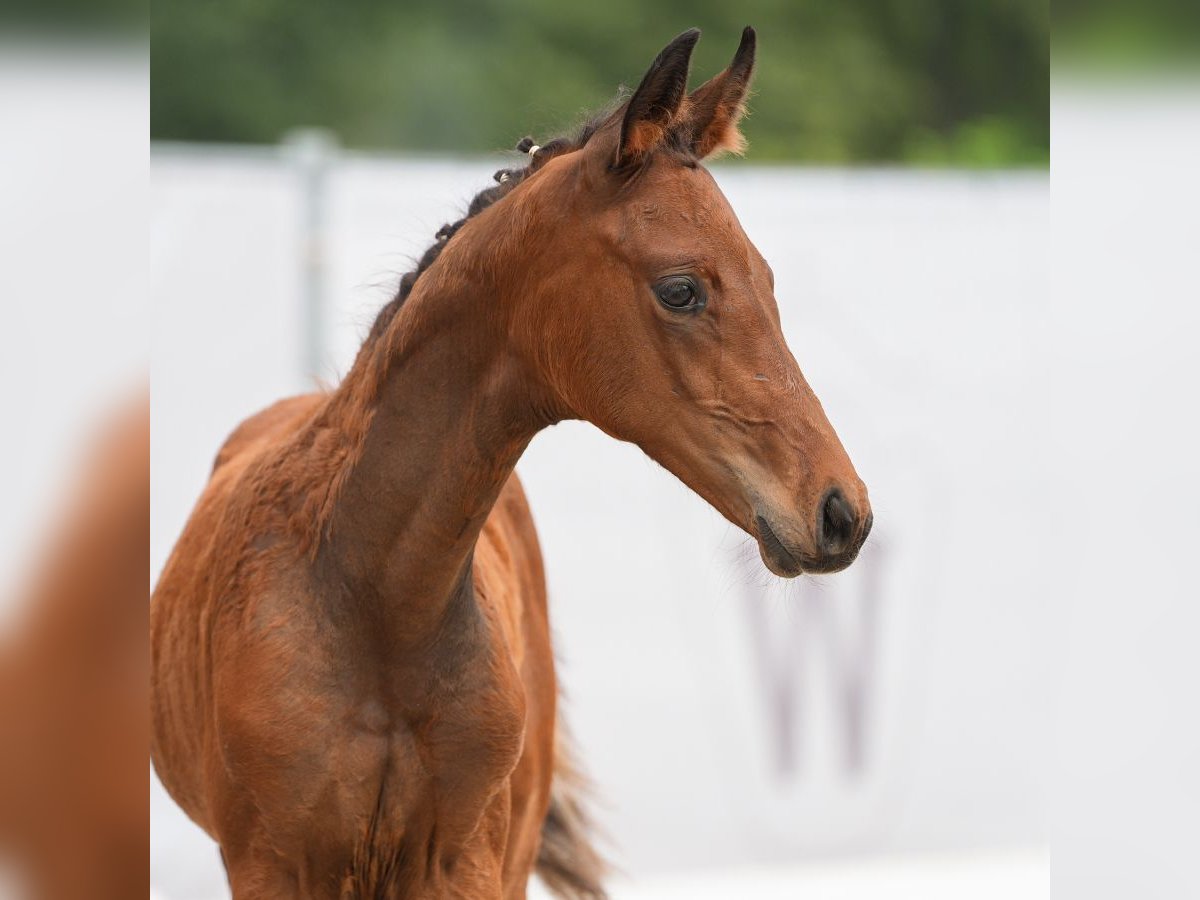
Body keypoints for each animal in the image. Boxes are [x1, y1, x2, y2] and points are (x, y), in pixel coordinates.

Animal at [150, 30, 873, 900]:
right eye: (681, 289)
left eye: (765, 278)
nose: (841, 511)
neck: (373, 603)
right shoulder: (272, 864)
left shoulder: (465, 860)